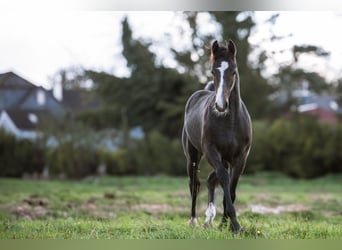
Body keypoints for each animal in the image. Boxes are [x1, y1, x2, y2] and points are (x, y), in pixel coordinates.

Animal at [182, 39, 251, 232]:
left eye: (233, 71)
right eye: (213, 71)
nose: (221, 105)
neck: (230, 122)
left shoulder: (240, 157)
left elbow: (232, 187)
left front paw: (227, 224)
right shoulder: (211, 151)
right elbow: (224, 179)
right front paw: (234, 223)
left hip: (225, 159)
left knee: (210, 180)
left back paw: (210, 219)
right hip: (193, 156)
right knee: (195, 183)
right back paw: (194, 220)